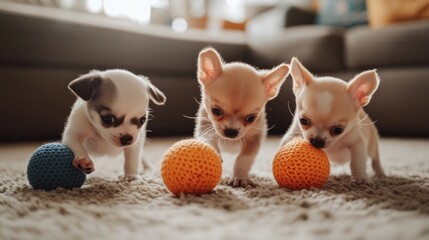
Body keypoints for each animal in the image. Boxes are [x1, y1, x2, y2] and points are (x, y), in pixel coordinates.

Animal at [193, 47, 288, 188]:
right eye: (216, 111)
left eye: (251, 118)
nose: (231, 132)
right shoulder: (205, 126)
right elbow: (208, 138)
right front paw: (214, 151)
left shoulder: (253, 140)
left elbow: (243, 159)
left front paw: (239, 177)